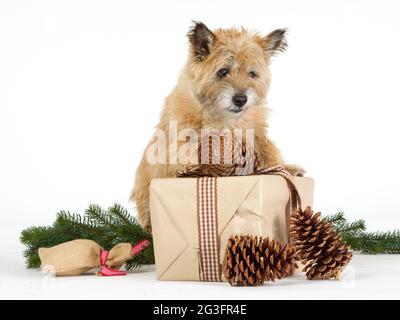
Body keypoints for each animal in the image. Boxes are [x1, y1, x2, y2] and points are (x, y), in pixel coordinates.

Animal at [130, 21, 304, 230]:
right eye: (223, 71)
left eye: (252, 74)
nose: (241, 99)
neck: (223, 118)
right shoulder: (180, 144)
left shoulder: (257, 136)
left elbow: (268, 153)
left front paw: (287, 168)